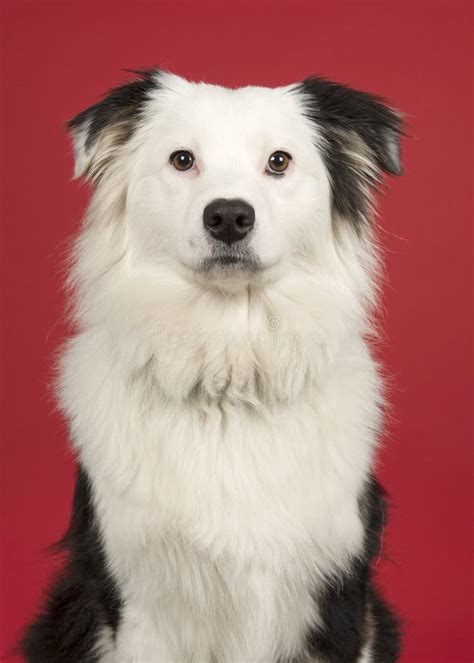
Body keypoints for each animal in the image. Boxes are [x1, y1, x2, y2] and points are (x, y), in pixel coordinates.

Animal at [23, 71, 404, 663]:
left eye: (279, 161)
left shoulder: (337, 595)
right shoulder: (138, 601)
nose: (228, 216)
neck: (229, 370)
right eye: (182, 159)